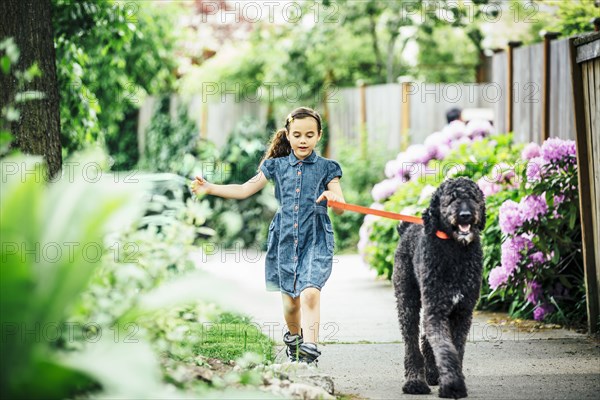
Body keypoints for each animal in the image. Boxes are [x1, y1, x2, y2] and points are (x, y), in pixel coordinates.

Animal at [394, 179, 488, 400]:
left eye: (473, 197)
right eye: (451, 199)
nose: (466, 215)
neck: (455, 250)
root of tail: (407, 228)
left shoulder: (462, 312)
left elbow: (456, 348)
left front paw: (452, 379)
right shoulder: (436, 310)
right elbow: (446, 348)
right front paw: (453, 385)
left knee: (424, 339)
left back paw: (432, 373)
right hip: (407, 301)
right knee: (411, 342)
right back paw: (415, 382)